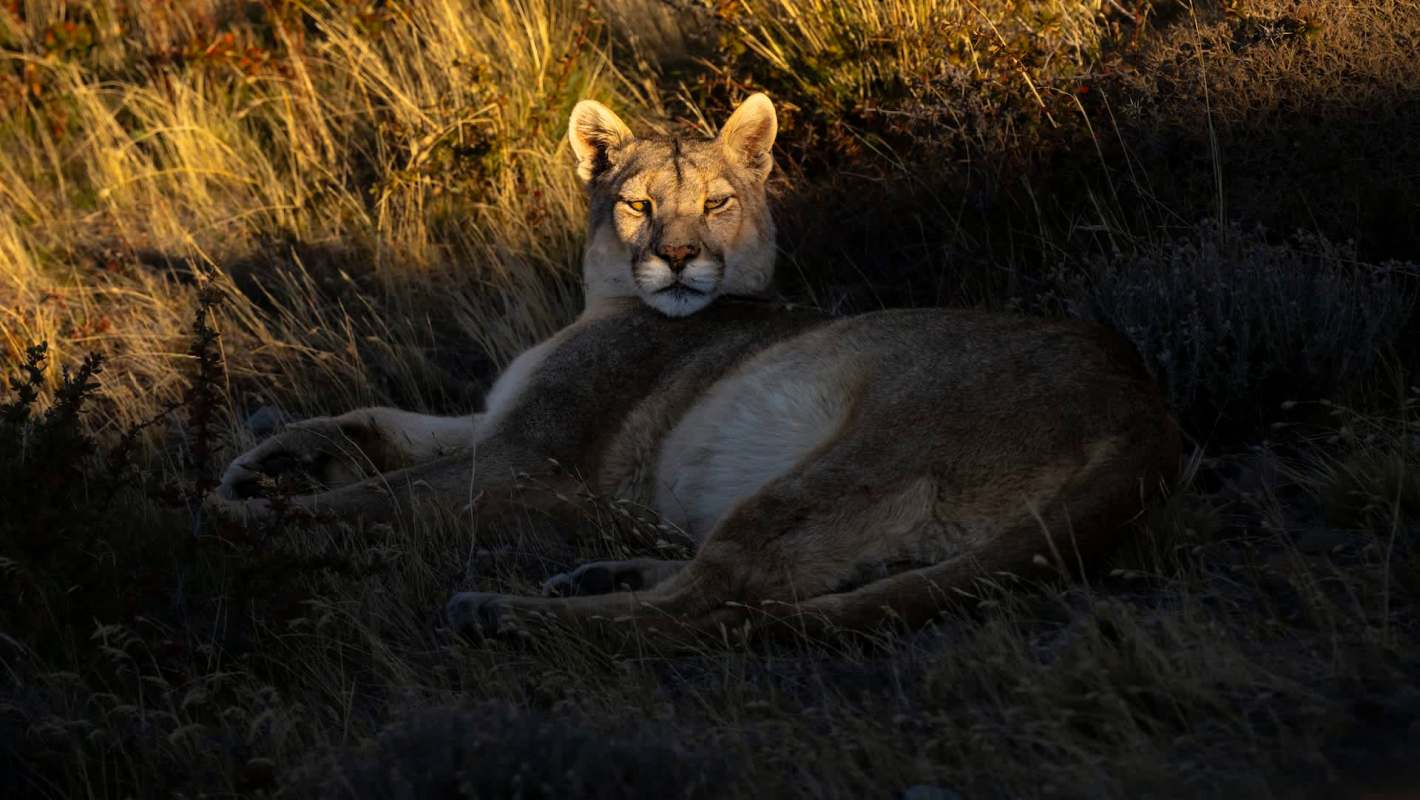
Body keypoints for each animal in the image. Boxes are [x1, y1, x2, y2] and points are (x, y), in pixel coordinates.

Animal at [210, 93, 1180, 644]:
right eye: (639, 204)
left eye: (717, 202)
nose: (678, 257)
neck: (603, 304)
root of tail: (1145, 406)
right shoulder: (501, 422)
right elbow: (374, 422)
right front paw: (261, 464)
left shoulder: (529, 464)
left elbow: (376, 499)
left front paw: (249, 518)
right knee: (728, 584)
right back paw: (598, 573)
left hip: (852, 460)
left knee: (717, 607)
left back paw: (512, 614)